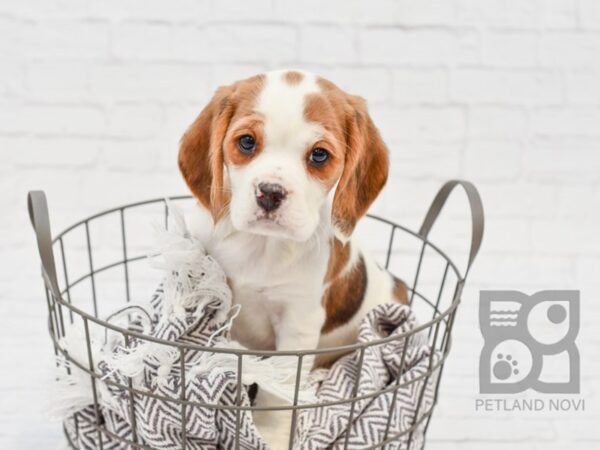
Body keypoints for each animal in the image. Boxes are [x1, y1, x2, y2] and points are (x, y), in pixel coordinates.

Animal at [176, 69, 406, 446]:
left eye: (319, 155)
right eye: (247, 142)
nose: (270, 193)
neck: (261, 244)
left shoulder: (297, 325)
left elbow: (279, 392)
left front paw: (269, 436)